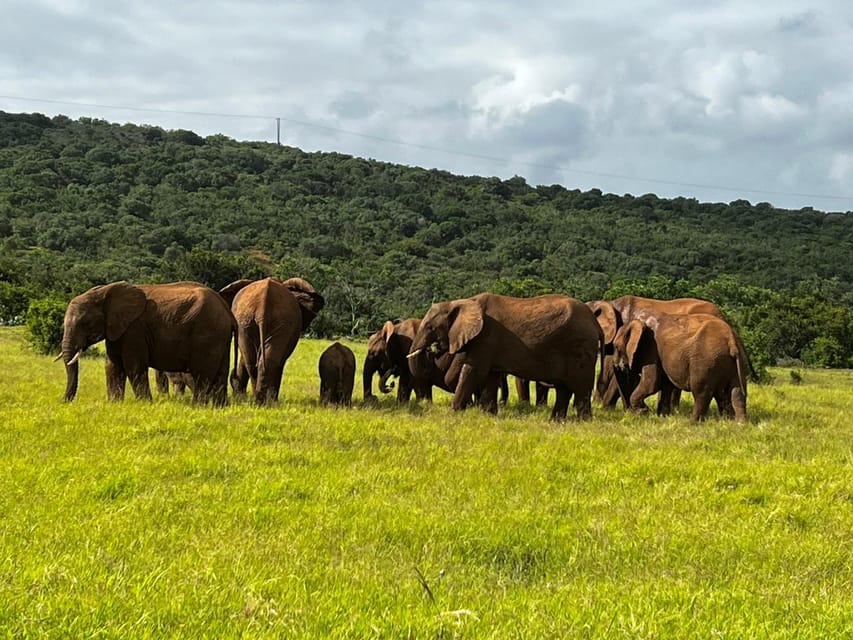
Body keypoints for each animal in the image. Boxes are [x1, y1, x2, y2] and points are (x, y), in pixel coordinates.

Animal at [59, 280, 235, 404]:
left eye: (85, 323)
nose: (63, 402)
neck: (103, 291)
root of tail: (227, 310)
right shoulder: (117, 330)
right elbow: (112, 365)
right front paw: (114, 403)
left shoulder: (134, 329)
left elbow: (134, 366)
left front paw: (144, 403)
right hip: (220, 336)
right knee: (221, 373)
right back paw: (219, 406)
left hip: (207, 333)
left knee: (201, 373)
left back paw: (198, 405)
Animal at [218, 276, 324, 404]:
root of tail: (263, 302)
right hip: (258, 321)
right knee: (266, 361)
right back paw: (264, 401)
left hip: (249, 322)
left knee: (254, 361)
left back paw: (260, 400)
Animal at [404, 294, 600, 420]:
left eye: (430, 327)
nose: (432, 350)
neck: (461, 302)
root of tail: (594, 321)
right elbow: (491, 376)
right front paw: (489, 416)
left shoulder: (485, 338)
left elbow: (473, 371)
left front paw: (454, 414)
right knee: (563, 389)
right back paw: (556, 421)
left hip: (580, 348)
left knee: (580, 387)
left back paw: (583, 421)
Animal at [612, 312, 744, 422]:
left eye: (616, 346)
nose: (628, 413)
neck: (637, 321)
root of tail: (731, 340)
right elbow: (666, 384)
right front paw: (662, 417)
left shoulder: (651, 350)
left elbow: (651, 383)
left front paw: (643, 413)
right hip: (734, 360)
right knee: (735, 392)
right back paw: (736, 423)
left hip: (705, 361)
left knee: (701, 392)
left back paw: (693, 422)